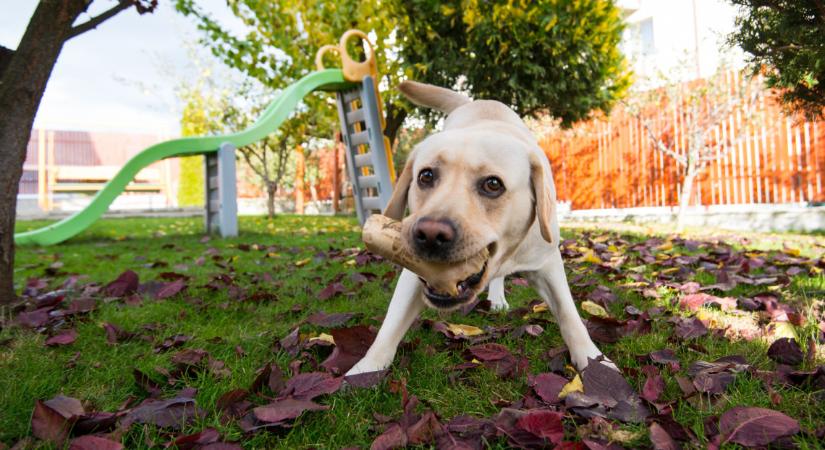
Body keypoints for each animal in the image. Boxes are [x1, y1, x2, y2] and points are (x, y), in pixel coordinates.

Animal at [344, 81, 608, 376]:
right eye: (426, 176)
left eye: (493, 184)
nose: (430, 235)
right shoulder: (414, 273)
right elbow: (391, 324)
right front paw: (365, 370)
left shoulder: (548, 263)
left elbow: (569, 314)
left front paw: (596, 362)